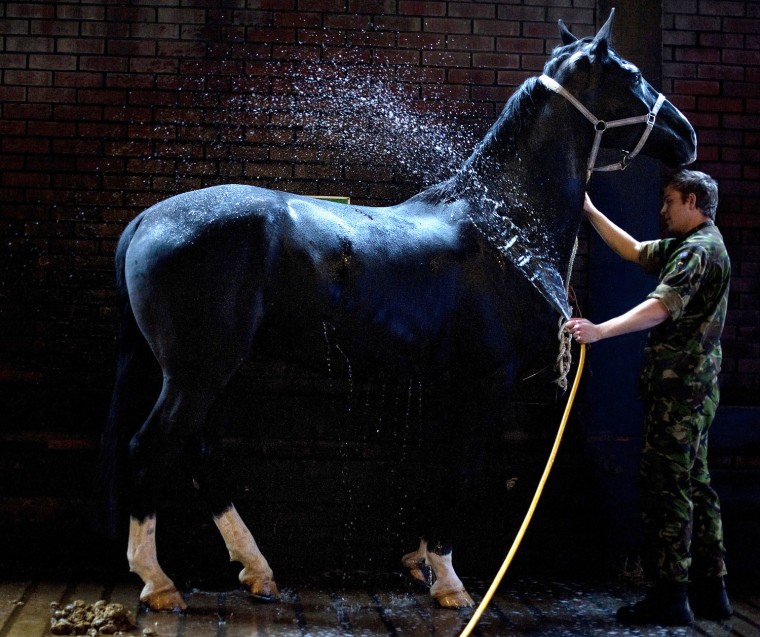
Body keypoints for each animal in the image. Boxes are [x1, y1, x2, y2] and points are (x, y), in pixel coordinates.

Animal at [103, 10, 696, 612]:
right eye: (631, 73)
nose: (686, 135)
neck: (504, 227)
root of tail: (146, 219)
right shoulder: (486, 383)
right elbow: (461, 471)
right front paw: (449, 580)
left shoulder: (455, 386)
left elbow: (440, 466)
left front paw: (420, 562)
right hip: (197, 374)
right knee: (151, 449)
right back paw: (158, 581)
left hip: (200, 374)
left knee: (200, 453)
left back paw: (256, 570)